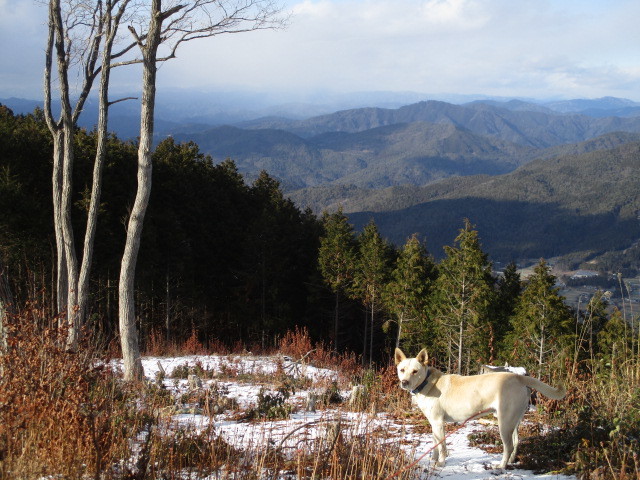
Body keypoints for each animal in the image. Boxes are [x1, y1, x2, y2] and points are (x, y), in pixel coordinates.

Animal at [396, 348, 564, 468]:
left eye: (415, 371)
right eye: (402, 370)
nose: (404, 382)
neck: (427, 383)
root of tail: (518, 377)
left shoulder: (438, 422)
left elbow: (442, 447)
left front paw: (441, 463)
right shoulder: (433, 423)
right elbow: (435, 445)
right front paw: (434, 460)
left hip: (503, 423)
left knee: (508, 446)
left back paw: (501, 466)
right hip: (514, 421)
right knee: (516, 442)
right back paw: (510, 461)